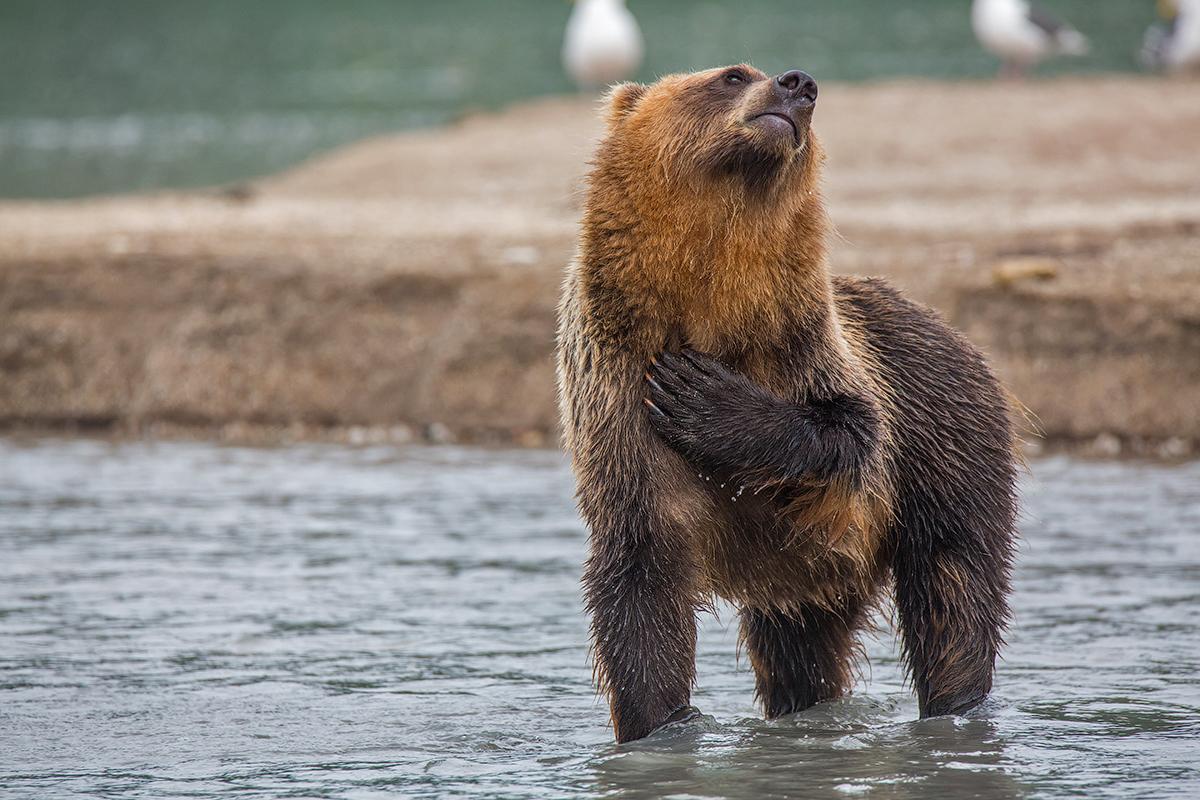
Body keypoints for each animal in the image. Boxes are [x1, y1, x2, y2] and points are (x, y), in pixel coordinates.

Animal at [556, 64, 1017, 743]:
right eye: (731, 76)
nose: (798, 83)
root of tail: (957, 335)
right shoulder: (616, 389)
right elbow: (642, 578)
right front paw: (661, 723)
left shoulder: (808, 350)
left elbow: (848, 434)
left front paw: (703, 396)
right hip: (803, 579)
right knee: (799, 649)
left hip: (946, 447)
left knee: (954, 594)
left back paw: (956, 704)